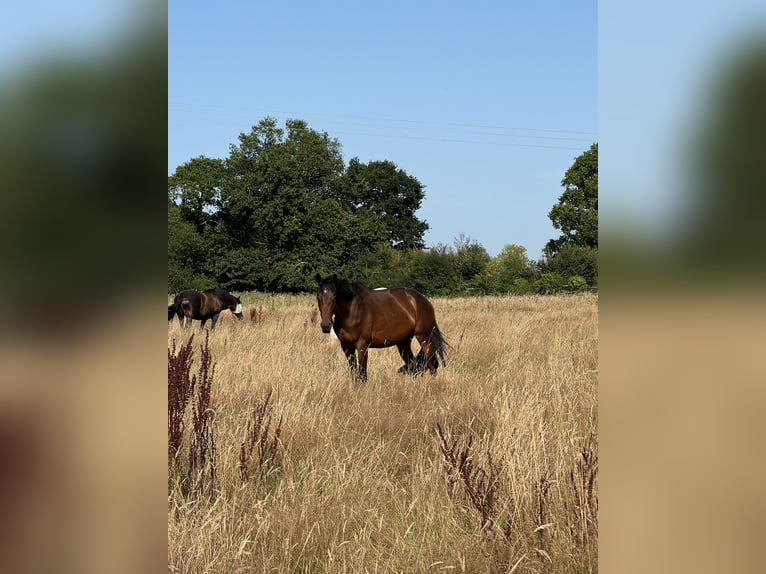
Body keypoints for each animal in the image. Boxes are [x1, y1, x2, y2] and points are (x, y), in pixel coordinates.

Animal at [314, 274, 447, 381]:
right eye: (318, 297)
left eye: (334, 296)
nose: (326, 326)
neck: (352, 311)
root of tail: (424, 300)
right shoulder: (346, 346)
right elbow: (353, 372)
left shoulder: (362, 346)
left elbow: (362, 374)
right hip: (403, 342)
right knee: (412, 365)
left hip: (424, 338)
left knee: (431, 365)